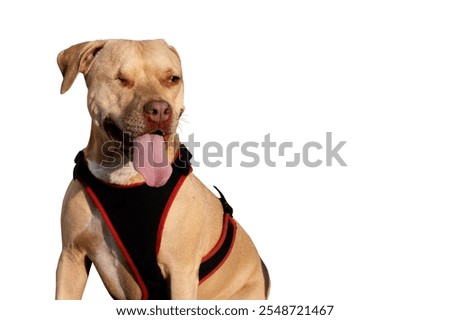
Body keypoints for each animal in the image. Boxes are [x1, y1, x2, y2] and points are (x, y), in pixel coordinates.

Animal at [54, 40, 268, 300]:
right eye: (121, 79)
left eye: (172, 79)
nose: (159, 109)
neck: (124, 180)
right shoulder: (71, 258)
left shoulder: (181, 274)